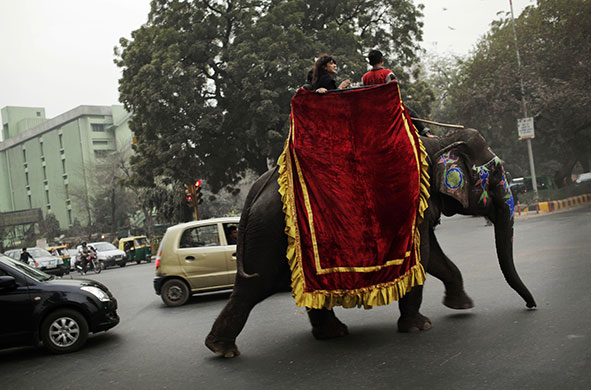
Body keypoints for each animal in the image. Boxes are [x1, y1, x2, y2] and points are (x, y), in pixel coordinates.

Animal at [206, 128, 540, 356]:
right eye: (496, 172)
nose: (531, 306)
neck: (438, 141)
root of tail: (258, 188)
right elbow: (422, 256)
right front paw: (419, 326)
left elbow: (434, 257)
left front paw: (462, 305)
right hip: (270, 231)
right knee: (255, 286)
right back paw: (222, 349)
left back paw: (332, 334)